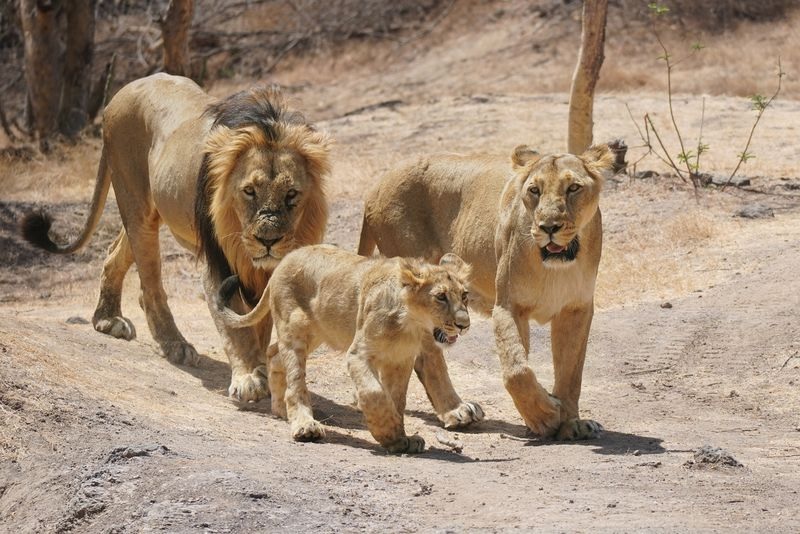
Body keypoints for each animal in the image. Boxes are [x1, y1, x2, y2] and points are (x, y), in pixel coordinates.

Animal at [21, 74, 330, 402]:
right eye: (249, 191)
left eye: (291, 194)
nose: (268, 241)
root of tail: (124, 90)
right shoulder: (218, 261)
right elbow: (236, 326)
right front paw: (248, 377)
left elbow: (260, 319)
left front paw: (264, 369)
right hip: (135, 201)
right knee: (150, 286)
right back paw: (175, 345)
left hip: (146, 212)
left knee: (115, 254)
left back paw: (107, 320)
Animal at [216, 246, 472, 452]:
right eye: (440, 297)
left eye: (464, 295)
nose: (464, 324)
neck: (409, 325)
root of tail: (284, 260)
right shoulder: (358, 354)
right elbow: (375, 393)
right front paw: (386, 430)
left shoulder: (400, 360)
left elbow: (396, 398)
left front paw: (399, 439)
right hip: (294, 327)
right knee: (294, 382)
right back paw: (304, 426)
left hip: (316, 333)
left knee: (274, 354)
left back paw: (280, 410)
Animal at [356, 141, 624, 440]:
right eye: (534, 190)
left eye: (573, 188)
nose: (549, 227)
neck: (555, 266)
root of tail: (376, 185)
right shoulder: (508, 305)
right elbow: (517, 370)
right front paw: (545, 416)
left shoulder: (576, 309)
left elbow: (570, 372)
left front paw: (570, 422)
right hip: (423, 289)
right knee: (428, 355)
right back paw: (456, 410)